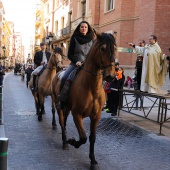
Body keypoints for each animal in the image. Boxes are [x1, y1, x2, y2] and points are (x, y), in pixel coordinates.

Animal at [51, 32, 115, 169]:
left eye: (114, 48)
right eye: (102, 48)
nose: (111, 76)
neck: (91, 88)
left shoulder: (96, 116)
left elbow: (92, 138)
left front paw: (93, 161)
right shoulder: (77, 114)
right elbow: (83, 137)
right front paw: (72, 142)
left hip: (67, 108)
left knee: (64, 122)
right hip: (59, 106)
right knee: (62, 122)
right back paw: (65, 142)